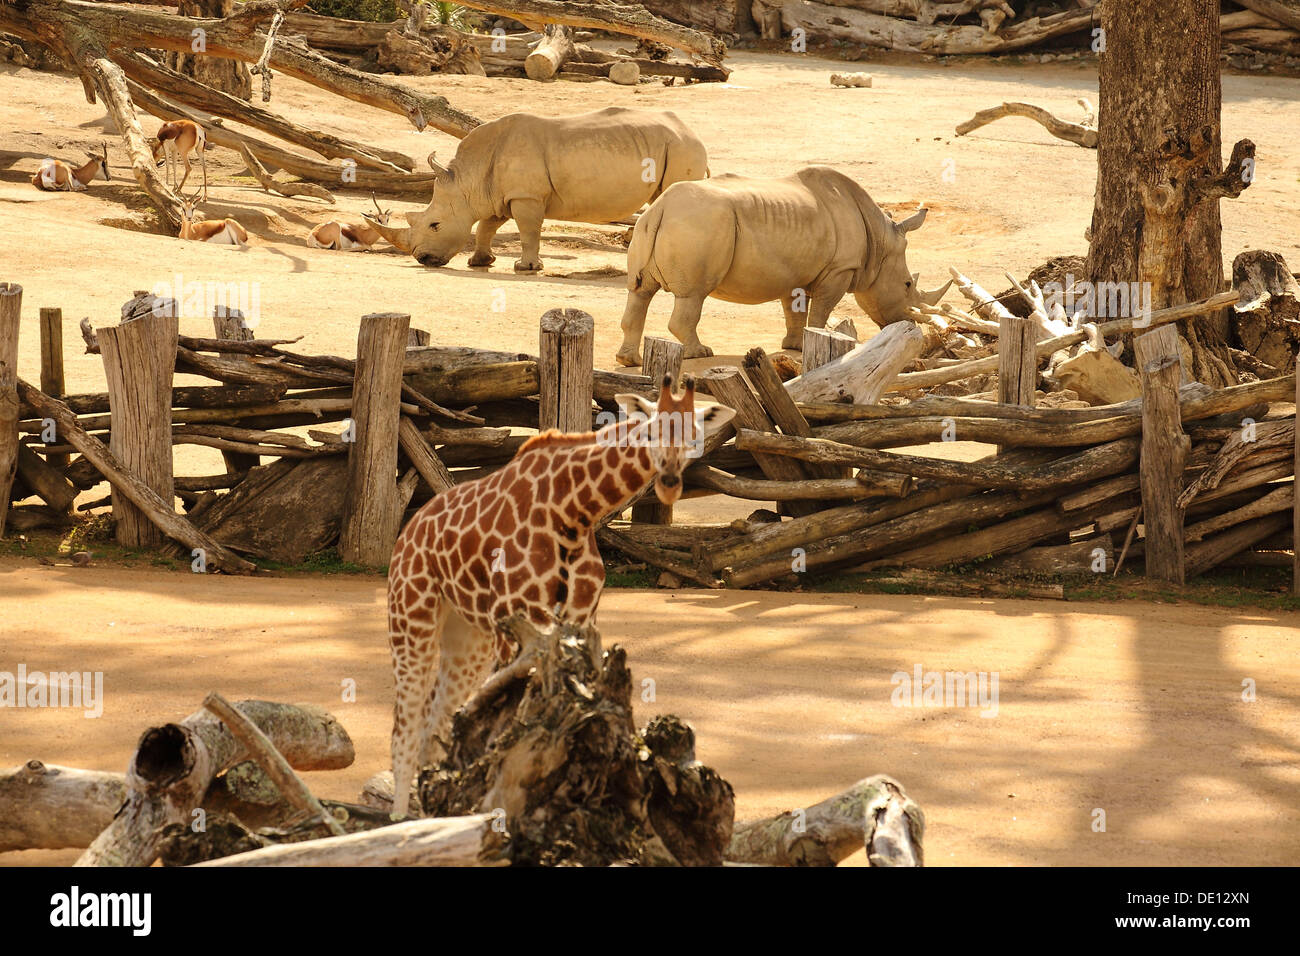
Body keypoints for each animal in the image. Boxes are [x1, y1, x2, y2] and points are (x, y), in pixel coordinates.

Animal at [382, 377, 733, 816]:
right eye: (651, 431)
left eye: (694, 436)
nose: (669, 483)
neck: (573, 511)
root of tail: (409, 529)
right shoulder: (517, 620)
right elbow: (508, 725)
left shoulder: (579, 618)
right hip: (412, 615)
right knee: (406, 726)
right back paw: (399, 819)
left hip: (467, 635)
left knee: (435, 721)